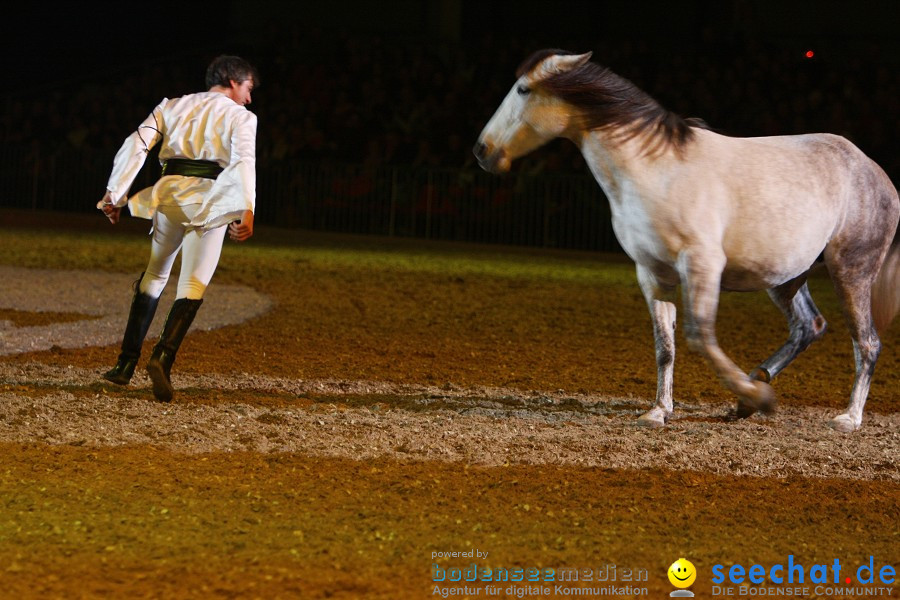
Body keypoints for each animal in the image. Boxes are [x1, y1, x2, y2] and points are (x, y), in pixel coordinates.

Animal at [474, 48, 896, 432]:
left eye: (523, 89)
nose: (482, 151)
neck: (655, 169)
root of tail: (874, 171)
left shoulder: (702, 264)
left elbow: (699, 335)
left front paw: (757, 398)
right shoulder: (653, 273)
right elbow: (665, 345)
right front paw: (659, 411)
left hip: (851, 269)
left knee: (867, 342)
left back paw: (847, 418)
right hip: (786, 277)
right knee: (809, 327)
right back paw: (752, 395)